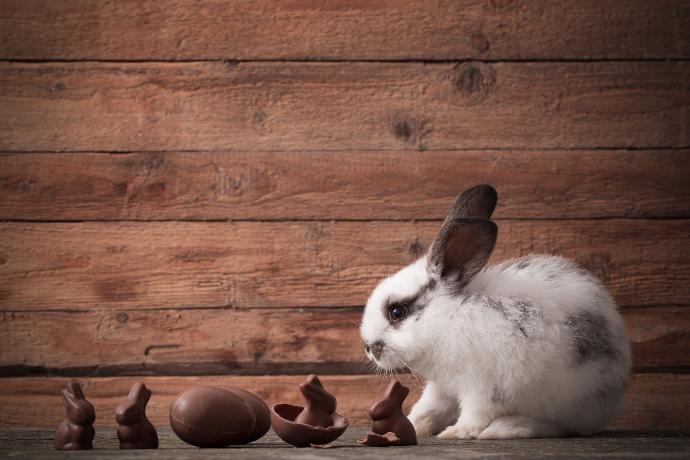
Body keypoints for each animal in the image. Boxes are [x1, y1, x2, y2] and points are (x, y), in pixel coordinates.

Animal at [360, 183, 628, 438]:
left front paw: (456, 433)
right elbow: (430, 407)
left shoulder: (485, 387)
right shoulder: (442, 386)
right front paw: (415, 426)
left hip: (568, 400)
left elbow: (474, 414)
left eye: (397, 312)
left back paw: (508, 428)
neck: (447, 318)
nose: (369, 348)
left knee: (558, 426)